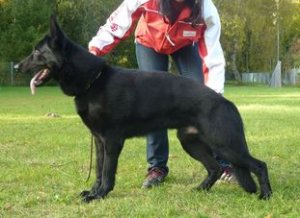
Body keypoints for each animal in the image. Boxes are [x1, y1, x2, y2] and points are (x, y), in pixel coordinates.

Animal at [14, 15, 272, 203]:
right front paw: (93, 192)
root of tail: (227, 103)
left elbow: (107, 172)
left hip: (225, 145)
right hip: (191, 143)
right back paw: (201, 189)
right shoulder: (99, 141)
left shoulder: (112, 141)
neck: (93, 81)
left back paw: (266, 195)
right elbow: (98, 170)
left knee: (258, 165)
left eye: (37, 52)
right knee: (215, 167)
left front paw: (100, 195)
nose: (16, 67)